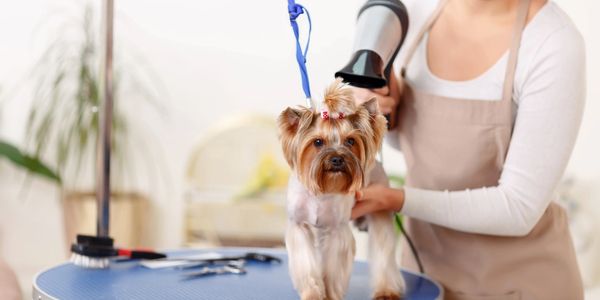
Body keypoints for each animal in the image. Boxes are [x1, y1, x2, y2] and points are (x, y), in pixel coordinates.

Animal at [278, 79, 406, 300]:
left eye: (351, 141)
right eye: (318, 142)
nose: (337, 159)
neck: (322, 191)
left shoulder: (336, 230)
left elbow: (333, 269)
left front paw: (329, 294)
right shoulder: (300, 226)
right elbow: (307, 266)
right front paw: (313, 293)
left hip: (380, 213)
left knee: (383, 252)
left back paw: (386, 290)